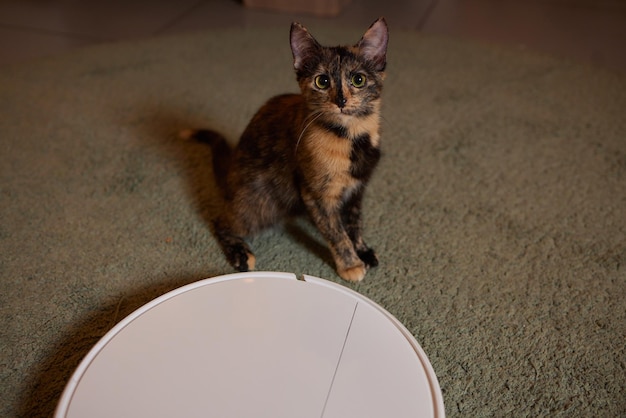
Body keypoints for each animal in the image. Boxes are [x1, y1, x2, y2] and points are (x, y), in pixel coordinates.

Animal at [179, 18, 386, 282]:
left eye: (358, 80)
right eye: (322, 81)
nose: (340, 101)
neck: (350, 137)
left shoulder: (358, 190)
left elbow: (354, 223)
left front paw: (362, 249)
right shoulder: (315, 194)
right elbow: (336, 232)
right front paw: (350, 264)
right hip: (260, 203)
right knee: (221, 221)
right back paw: (240, 253)